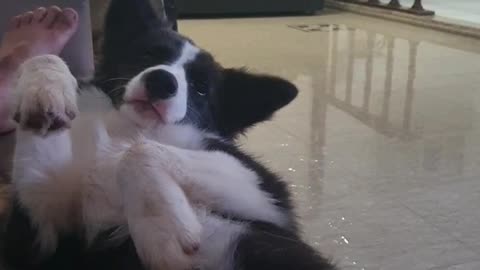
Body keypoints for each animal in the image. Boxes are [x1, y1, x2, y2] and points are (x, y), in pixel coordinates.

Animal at [2, 0, 334, 270]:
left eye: (200, 88)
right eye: (148, 55)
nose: (162, 81)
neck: (130, 126)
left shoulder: (269, 198)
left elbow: (138, 151)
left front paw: (163, 230)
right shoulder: (42, 233)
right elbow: (46, 59)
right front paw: (45, 89)